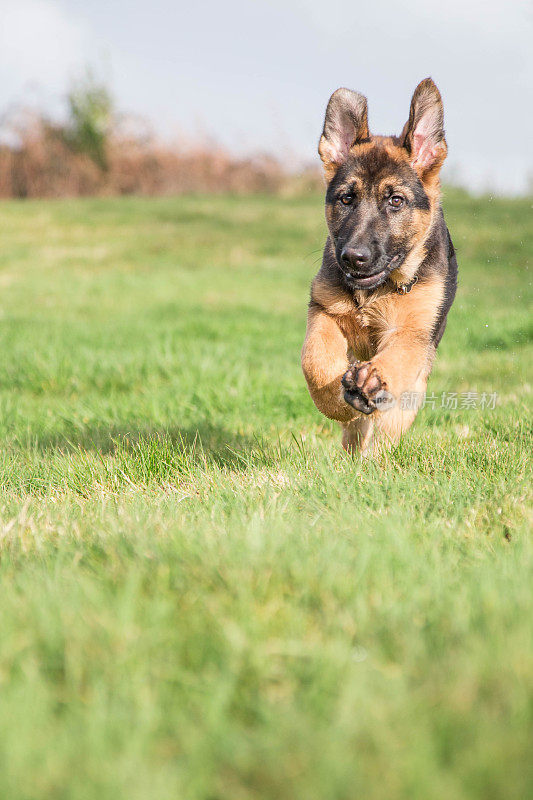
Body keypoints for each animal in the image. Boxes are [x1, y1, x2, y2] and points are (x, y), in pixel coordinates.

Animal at [302, 81, 456, 456]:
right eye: (346, 198)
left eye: (395, 201)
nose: (353, 258)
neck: (376, 291)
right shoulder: (324, 310)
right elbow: (316, 362)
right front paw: (337, 403)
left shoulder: (412, 333)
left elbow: (395, 360)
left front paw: (369, 382)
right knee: (357, 429)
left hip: (417, 381)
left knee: (388, 426)